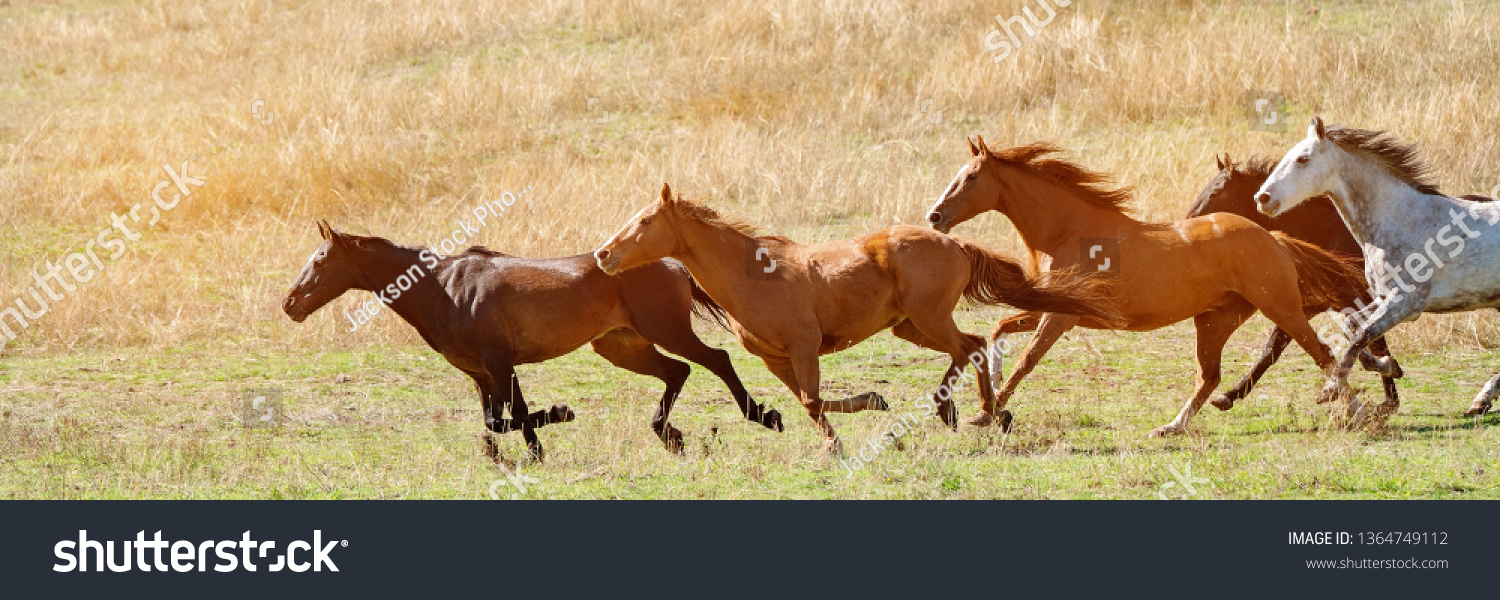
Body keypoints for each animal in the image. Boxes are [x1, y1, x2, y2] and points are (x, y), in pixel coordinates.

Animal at [277, 222, 786, 462]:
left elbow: (517, 413)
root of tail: (673, 263)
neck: (444, 288)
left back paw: (764, 416)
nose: (290, 304)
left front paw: (549, 430)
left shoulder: (499, 362)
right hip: (621, 346)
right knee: (678, 372)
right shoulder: (480, 372)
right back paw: (670, 435)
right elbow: (495, 419)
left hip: (667, 332)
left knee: (716, 360)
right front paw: (541, 432)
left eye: (320, 261)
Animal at [591, 185, 1122, 453]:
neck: (754, 276)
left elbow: (811, 400)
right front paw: (870, 403)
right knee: (971, 343)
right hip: (910, 326)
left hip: (928, 318)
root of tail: (955, 244)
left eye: (644, 222)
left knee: (967, 347)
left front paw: (837, 444)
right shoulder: (776, 360)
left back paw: (969, 413)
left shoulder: (803, 347)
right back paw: (981, 413)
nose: (603, 255)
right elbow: (811, 401)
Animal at [918, 137, 1368, 435]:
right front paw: (991, 397)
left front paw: (988, 412)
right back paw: (1171, 427)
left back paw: (1356, 412)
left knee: (1323, 354)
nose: (935, 216)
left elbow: (1027, 359)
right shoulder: (1055, 306)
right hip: (1215, 320)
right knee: (1210, 378)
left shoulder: (1060, 316)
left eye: (971, 177)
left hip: (1281, 308)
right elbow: (999, 330)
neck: (1067, 232)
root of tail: (1273, 238)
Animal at [1182, 153, 1404, 423]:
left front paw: (1388, 400)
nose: (1188, 223)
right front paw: (1228, 396)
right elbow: (1272, 349)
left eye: (1216, 191)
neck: (1330, 234)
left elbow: (1373, 340)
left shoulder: (1359, 300)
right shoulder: (1306, 306)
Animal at [1260, 117, 1494, 417]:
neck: (1403, 221)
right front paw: (1390, 367)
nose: (1262, 198)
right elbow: (1352, 327)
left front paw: (1331, 389)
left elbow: (1363, 333)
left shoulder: (1406, 303)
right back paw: (1481, 400)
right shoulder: (1382, 297)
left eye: (1303, 159)